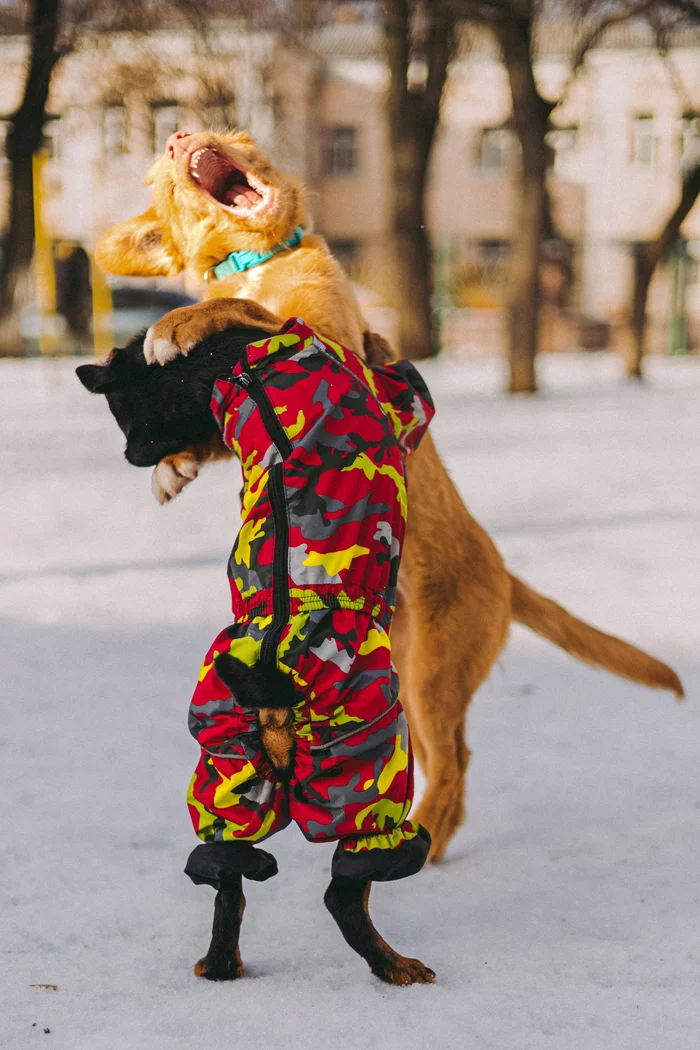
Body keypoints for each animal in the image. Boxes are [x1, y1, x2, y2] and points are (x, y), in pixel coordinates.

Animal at [94, 131, 684, 865]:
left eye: (239, 138)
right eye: (167, 174)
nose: (183, 138)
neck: (260, 261)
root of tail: (505, 576)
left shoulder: (332, 343)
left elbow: (257, 314)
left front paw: (182, 321)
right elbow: (222, 417)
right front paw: (174, 465)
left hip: (435, 671)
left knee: (455, 759)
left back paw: (420, 841)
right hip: (399, 670)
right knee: (442, 756)